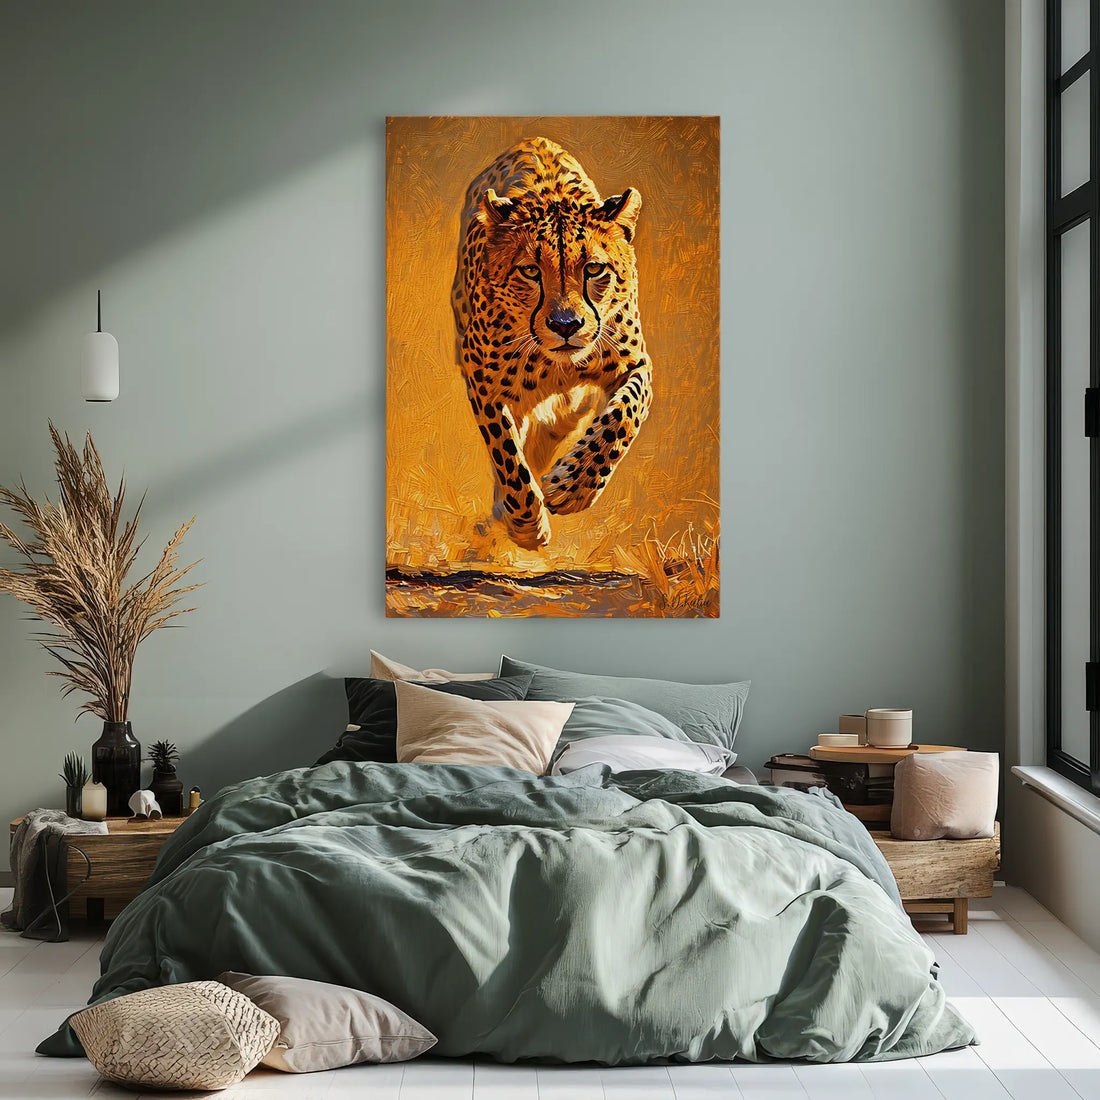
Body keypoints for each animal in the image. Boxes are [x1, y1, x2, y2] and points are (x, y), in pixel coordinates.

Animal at [451, 136, 653, 551]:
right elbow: (508, 457)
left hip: (568, 413)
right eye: (530, 270)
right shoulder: (483, 386)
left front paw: (572, 487)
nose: (565, 325)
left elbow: (623, 417)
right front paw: (527, 525)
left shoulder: (636, 364)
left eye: (594, 269)